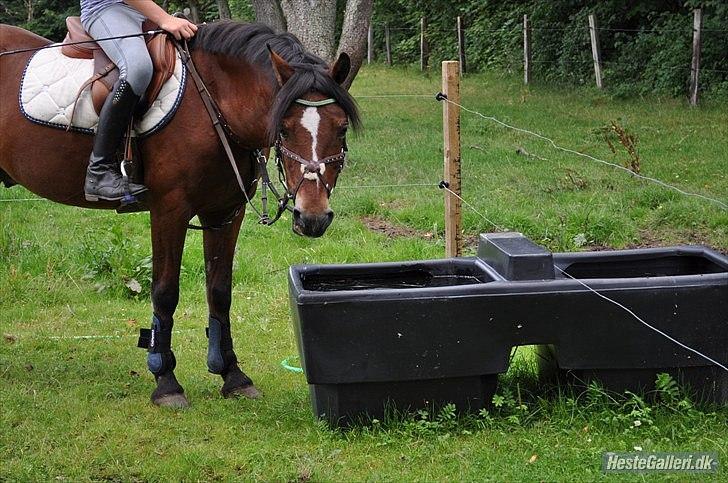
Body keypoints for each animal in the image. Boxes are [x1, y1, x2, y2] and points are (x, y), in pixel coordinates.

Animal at [0, 21, 362, 408]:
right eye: (284, 128)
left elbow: (219, 290)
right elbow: (164, 292)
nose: (313, 217)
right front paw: (165, 380)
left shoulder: (224, 213)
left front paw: (232, 375)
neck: (212, 104)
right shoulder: (169, 211)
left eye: (341, 128)